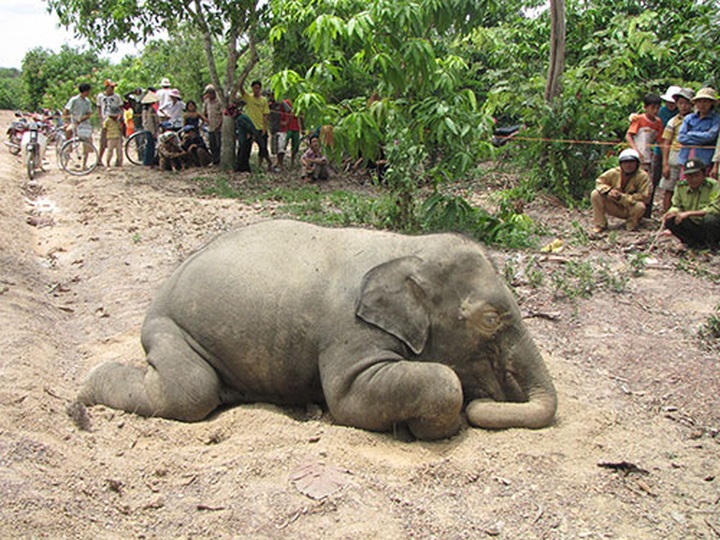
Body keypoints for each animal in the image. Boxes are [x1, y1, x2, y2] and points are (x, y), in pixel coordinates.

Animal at [78, 220, 557, 440]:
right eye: (490, 319)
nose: (487, 402)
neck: (408, 248)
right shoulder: (352, 331)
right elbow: (351, 399)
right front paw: (434, 426)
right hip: (171, 328)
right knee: (190, 391)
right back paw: (84, 394)